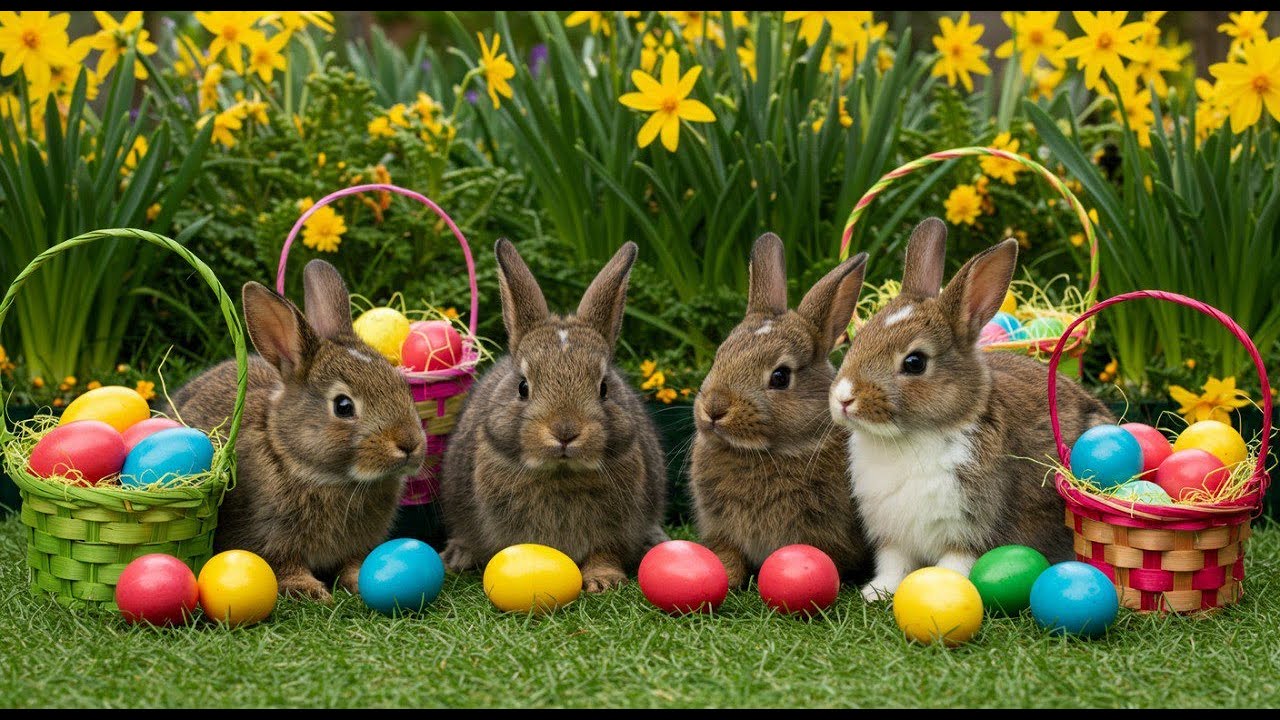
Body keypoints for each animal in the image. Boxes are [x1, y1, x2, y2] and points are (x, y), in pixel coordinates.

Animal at [165, 259, 426, 602]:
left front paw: (358, 581)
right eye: (343, 406)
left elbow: (355, 562)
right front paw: (310, 590)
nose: (410, 444)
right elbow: (284, 566)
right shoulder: (269, 537)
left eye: (403, 386)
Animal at [439, 239, 668, 593]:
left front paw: (604, 580)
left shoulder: (613, 529)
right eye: (523, 387)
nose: (565, 431)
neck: (561, 473)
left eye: (604, 387)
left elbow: (604, 552)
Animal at [690, 233, 873, 588]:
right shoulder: (722, 530)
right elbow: (728, 555)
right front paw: (724, 576)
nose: (715, 409)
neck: (768, 452)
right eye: (719, 356)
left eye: (780, 377)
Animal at [829, 217, 1114, 602]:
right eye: (858, 340)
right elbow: (894, 564)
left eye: (915, 362)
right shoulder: (893, 535)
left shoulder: (970, 527)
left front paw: (942, 592)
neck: (910, 438)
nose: (844, 397)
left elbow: (955, 564)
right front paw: (877, 592)